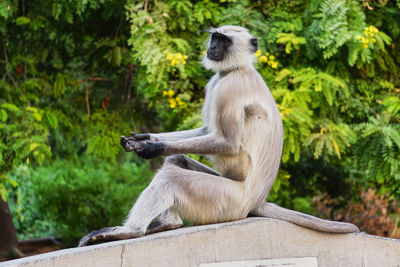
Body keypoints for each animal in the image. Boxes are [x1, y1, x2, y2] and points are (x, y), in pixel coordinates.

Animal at [78, 26, 360, 248]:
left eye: (223, 40)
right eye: (214, 37)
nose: (212, 46)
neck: (235, 69)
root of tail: (256, 201)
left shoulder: (231, 87)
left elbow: (229, 143)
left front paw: (153, 148)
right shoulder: (216, 82)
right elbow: (206, 131)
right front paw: (145, 139)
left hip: (226, 201)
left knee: (172, 177)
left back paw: (132, 230)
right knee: (177, 162)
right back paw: (169, 222)